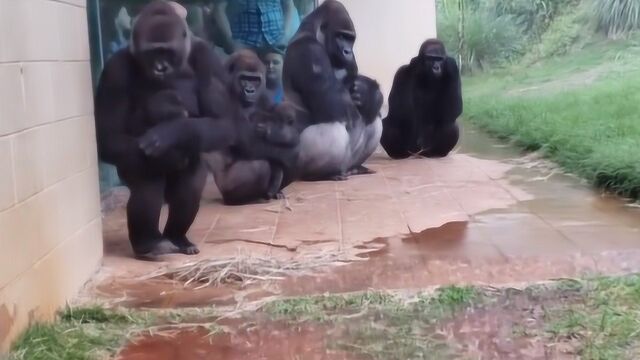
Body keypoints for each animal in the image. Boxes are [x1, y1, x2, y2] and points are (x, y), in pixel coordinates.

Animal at [92, 0, 235, 258]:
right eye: (152, 53)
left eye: (166, 51)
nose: (160, 68)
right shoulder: (114, 69)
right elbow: (108, 135)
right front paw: (168, 151)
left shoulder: (207, 58)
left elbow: (223, 123)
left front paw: (171, 133)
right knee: (148, 181)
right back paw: (149, 243)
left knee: (190, 182)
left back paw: (177, 237)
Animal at [204, 50, 302, 205]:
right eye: (244, 78)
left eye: (255, 80)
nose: (250, 90)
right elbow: (249, 143)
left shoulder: (264, 95)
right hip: (226, 188)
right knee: (261, 166)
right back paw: (243, 199)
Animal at [282, 0, 382, 180]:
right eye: (340, 36)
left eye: (350, 38)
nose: (347, 51)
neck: (312, 31)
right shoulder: (309, 52)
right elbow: (337, 105)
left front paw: (370, 93)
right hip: (297, 166)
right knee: (334, 127)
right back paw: (322, 174)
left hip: (348, 162)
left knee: (374, 116)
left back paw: (357, 167)